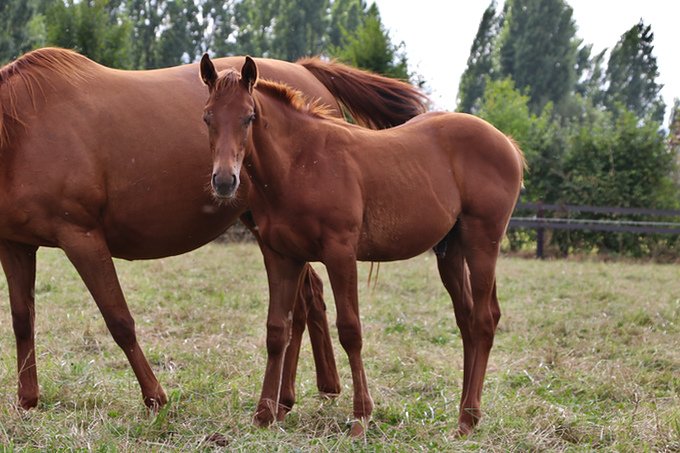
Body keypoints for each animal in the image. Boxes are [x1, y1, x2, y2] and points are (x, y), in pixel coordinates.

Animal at [0, 48, 428, 412]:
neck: (24, 128)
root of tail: (306, 71)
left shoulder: (82, 237)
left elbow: (119, 320)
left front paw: (155, 397)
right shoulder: (15, 246)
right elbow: (22, 320)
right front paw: (27, 400)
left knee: (305, 305)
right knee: (309, 302)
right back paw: (312, 390)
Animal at [200, 56, 525, 436]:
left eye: (249, 116)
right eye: (207, 116)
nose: (225, 181)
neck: (300, 163)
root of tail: (506, 142)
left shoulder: (340, 253)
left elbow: (350, 331)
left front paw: (360, 418)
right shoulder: (282, 257)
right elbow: (277, 330)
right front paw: (264, 415)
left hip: (483, 242)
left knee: (484, 320)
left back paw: (467, 419)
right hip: (451, 251)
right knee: (468, 319)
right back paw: (465, 413)